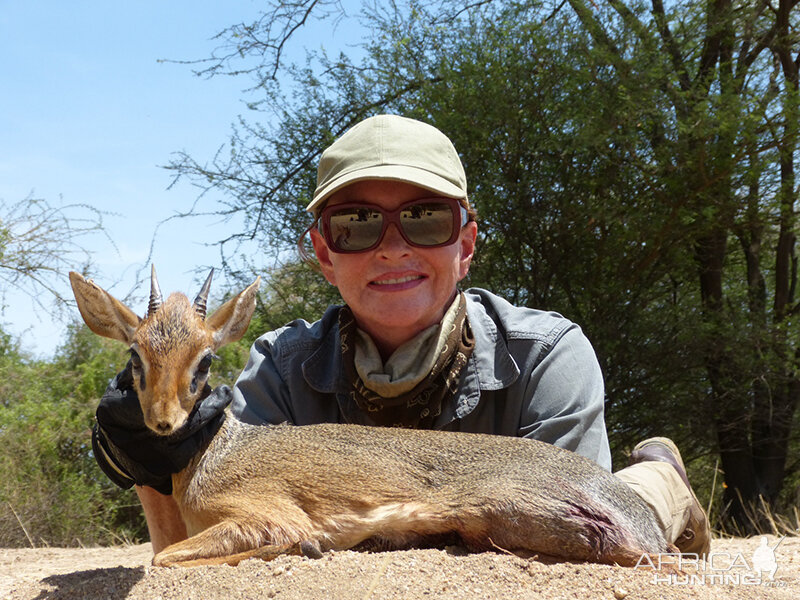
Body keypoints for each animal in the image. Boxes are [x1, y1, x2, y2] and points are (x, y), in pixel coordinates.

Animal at [69, 270, 672, 568]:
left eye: (205, 361)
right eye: (134, 358)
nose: (164, 423)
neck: (210, 456)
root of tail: (635, 514)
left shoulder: (266, 515)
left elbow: (163, 561)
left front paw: (306, 547)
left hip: (513, 513)